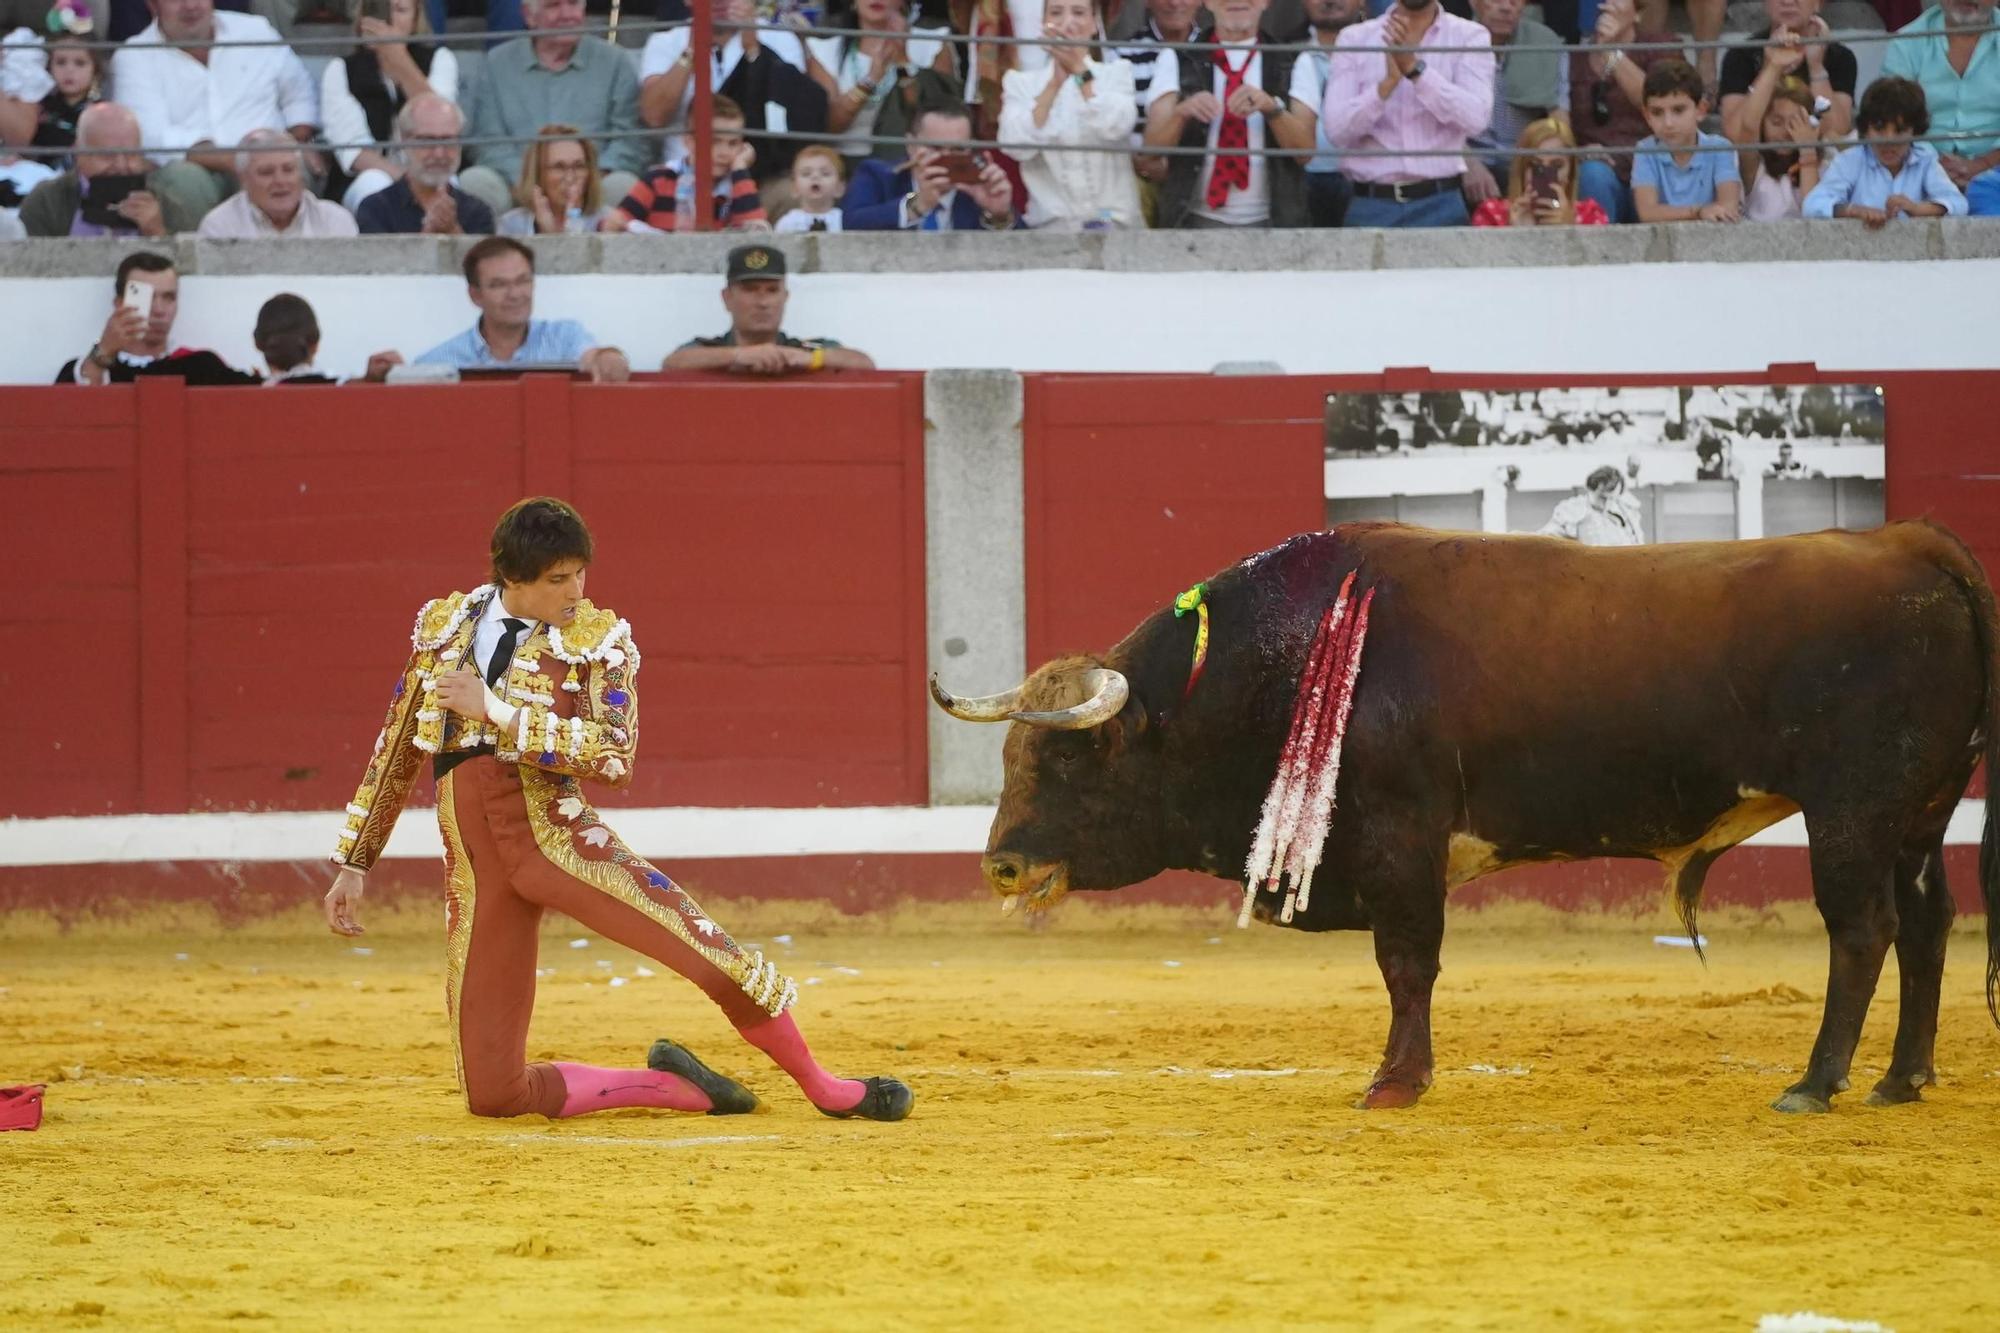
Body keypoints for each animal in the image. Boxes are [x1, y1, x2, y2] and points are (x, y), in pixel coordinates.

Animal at [928, 520, 1992, 1112]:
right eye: (1011, 756)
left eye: (1069, 754)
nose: (1001, 866)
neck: (1278, 661)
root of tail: (1912, 543)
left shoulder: (1401, 839)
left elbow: (1407, 964)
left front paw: (1395, 1083)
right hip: (1921, 814)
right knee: (1928, 924)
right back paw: (1902, 1079)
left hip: (1853, 808)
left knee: (1862, 930)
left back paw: (1816, 1083)